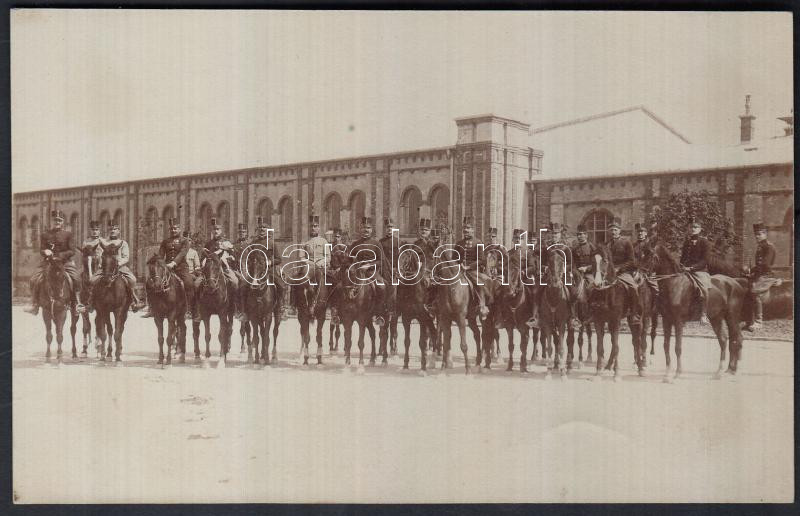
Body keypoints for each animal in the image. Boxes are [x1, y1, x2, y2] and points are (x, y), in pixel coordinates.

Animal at [588, 251, 644, 380]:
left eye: (605, 261)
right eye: (592, 261)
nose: (597, 283)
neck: (606, 292)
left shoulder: (616, 320)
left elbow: (617, 346)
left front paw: (617, 373)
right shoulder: (599, 320)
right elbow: (600, 346)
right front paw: (598, 371)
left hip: (635, 319)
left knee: (636, 341)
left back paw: (640, 368)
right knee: (614, 341)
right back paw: (608, 366)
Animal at [650, 244, 747, 380]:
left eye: (650, 255)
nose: (638, 274)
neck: (673, 284)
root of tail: (736, 283)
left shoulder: (678, 321)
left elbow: (677, 347)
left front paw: (677, 373)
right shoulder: (666, 320)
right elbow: (666, 345)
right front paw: (667, 374)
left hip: (732, 317)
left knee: (737, 339)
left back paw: (733, 371)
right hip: (716, 318)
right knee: (724, 340)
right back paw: (720, 372)